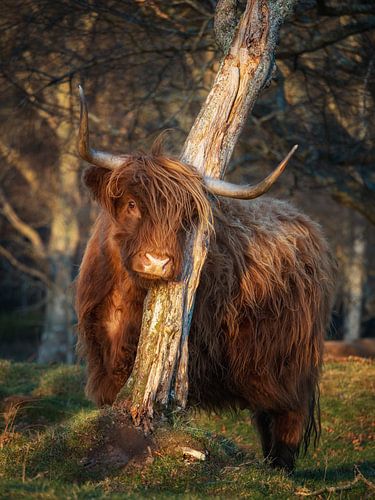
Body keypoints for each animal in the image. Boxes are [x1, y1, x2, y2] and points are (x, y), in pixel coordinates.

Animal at [76, 88, 338, 470]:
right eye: (131, 204)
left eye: (185, 216)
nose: (157, 262)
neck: (124, 299)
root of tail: (307, 224)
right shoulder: (102, 359)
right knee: (265, 417)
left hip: (291, 363)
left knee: (288, 418)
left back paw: (280, 470)